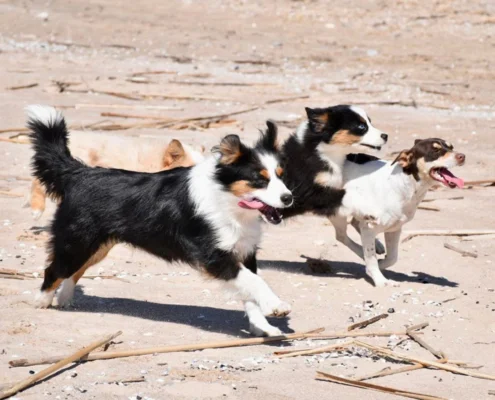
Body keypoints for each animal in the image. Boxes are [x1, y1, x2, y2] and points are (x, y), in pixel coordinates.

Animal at [332, 139, 466, 286]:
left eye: (451, 147)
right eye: (435, 150)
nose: (462, 156)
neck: (403, 183)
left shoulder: (394, 228)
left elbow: (392, 258)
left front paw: (380, 263)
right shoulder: (370, 227)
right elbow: (371, 257)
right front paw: (379, 279)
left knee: (354, 225)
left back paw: (377, 246)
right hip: (337, 212)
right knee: (341, 236)